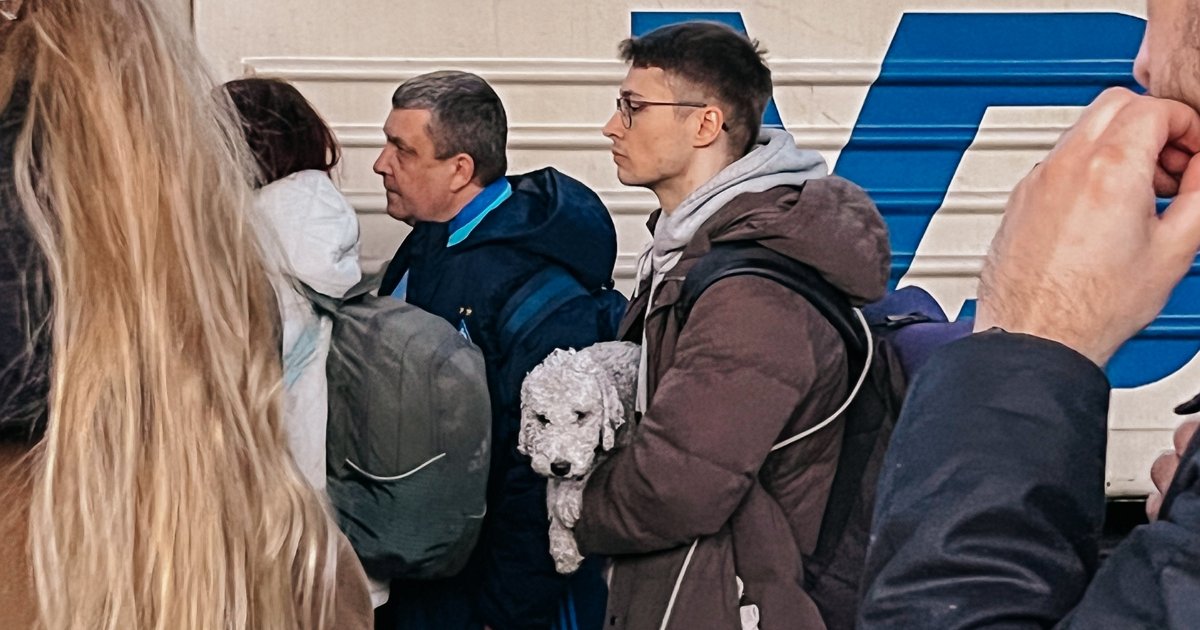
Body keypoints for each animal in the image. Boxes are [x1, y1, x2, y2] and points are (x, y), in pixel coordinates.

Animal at [518, 340, 640, 574]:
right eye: (542, 418)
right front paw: (563, 548)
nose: (560, 466)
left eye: (581, 415)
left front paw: (569, 500)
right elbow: (553, 489)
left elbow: (600, 459)